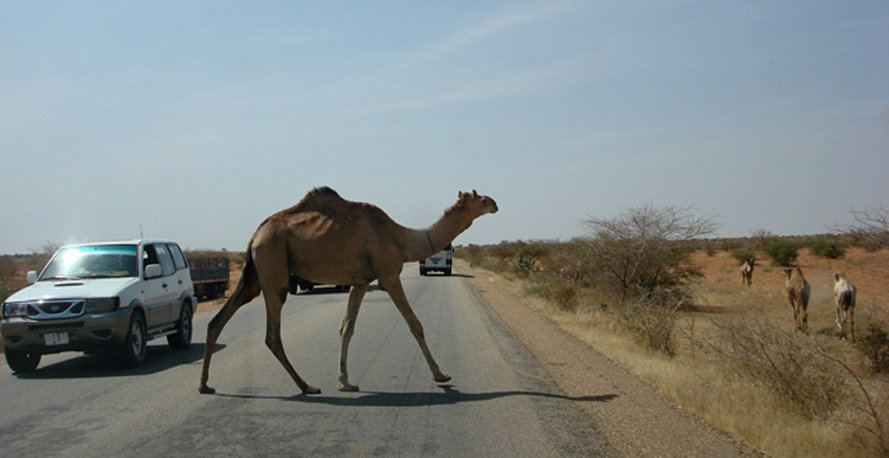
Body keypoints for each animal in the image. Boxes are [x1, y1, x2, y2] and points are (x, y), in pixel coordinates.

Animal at [197, 186, 496, 394]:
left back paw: (205, 385)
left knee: (218, 320)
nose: (495, 203)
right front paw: (441, 375)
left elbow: (346, 328)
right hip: (273, 264)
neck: (401, 239)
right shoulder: (389, 276)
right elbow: (415, 324)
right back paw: (306, 386)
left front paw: (345, 382)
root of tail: (256, 233)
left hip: (254, 274)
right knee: (272, 335)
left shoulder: (361, 282)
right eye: (480, 198)